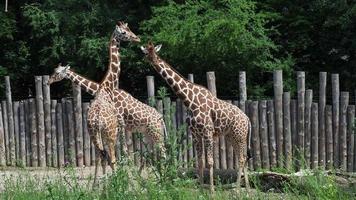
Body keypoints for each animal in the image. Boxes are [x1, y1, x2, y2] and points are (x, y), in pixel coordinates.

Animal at [140, 41, 252, 191]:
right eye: (147, 52)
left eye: (155, 53)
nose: (153, 59)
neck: (190, 101)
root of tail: (247, 119)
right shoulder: (195, 134)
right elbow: (200, 161)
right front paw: (201, 188)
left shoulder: (208, 131)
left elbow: (210, 162)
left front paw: (211, 191)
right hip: (232, 136)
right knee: (243, 157)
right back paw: (246, 189)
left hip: (240, 135)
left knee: (241, 158)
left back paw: (239, 190)